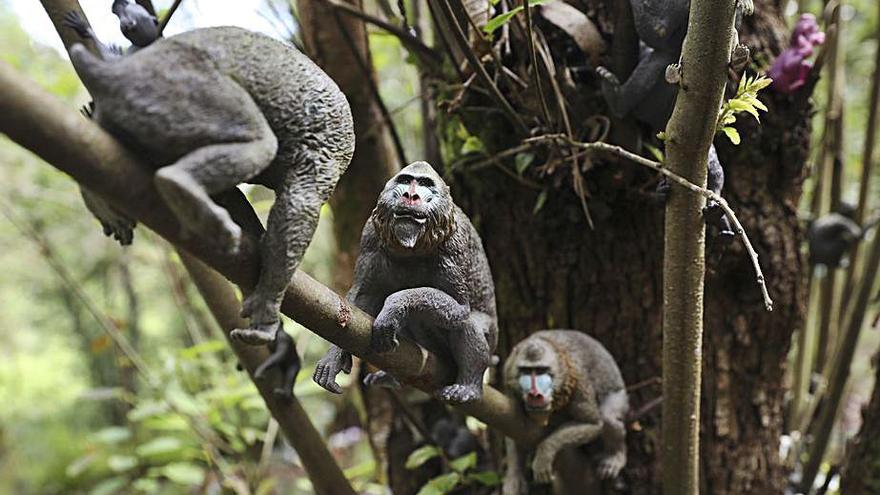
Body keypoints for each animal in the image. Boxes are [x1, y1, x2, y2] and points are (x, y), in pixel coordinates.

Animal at [65, 23, 356, 398]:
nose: (108, 227)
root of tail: (107, 76)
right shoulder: (321, 157)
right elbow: (297, 206)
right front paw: (266, 312)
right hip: (180, 91)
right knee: (257, 144)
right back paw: (182, 187)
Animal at [314, 161, 498, 404]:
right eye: (405, 180)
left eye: (425, 184)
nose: (411, 195)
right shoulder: (370, 236)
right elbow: (361, 299)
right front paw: (335, 356)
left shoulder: (453, 248)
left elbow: (460, 309)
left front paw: (396, 304)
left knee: (468, 323)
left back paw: (469, 387)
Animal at [502, 330, 624, 492]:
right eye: (526, 371)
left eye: (541, 371)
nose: (534, 394)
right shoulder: (509, 379)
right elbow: (510, 425)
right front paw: (514, 476)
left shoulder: (578, 380)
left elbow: (592, 424)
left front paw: (545, 452)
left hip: (618, 390)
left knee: (608, 418)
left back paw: (616, 456)